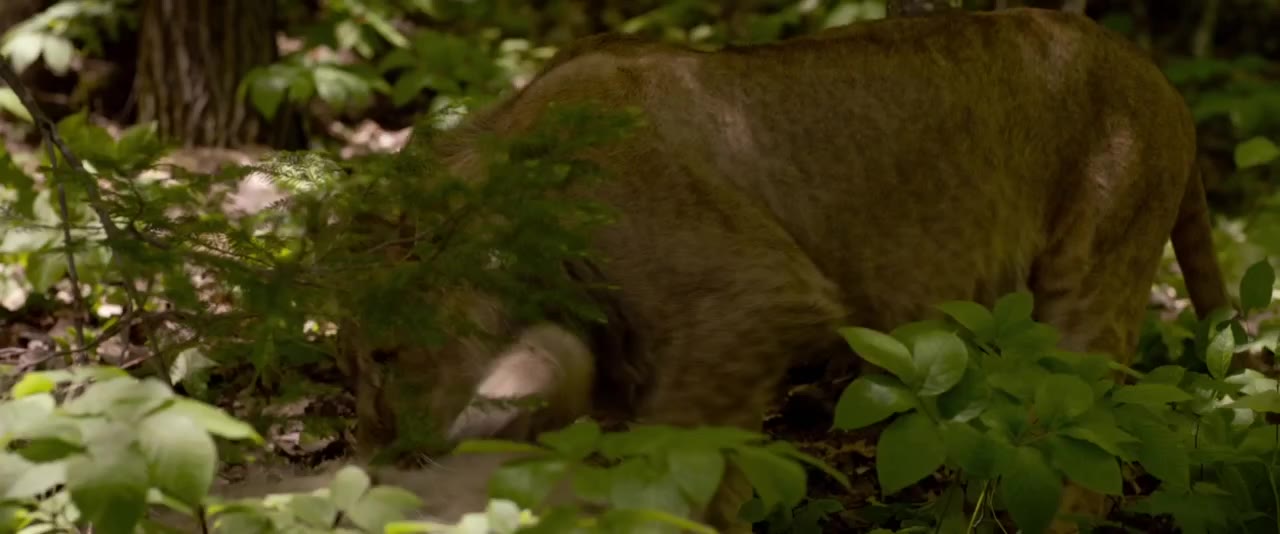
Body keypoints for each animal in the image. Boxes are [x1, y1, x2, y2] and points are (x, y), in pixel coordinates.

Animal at [340, 7, 1229, 533]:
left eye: (383, 357)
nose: (373, 457)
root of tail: (1161, 79)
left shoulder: (751, 298)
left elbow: (677, 455)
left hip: (1095, 276)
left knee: (1088, 450)